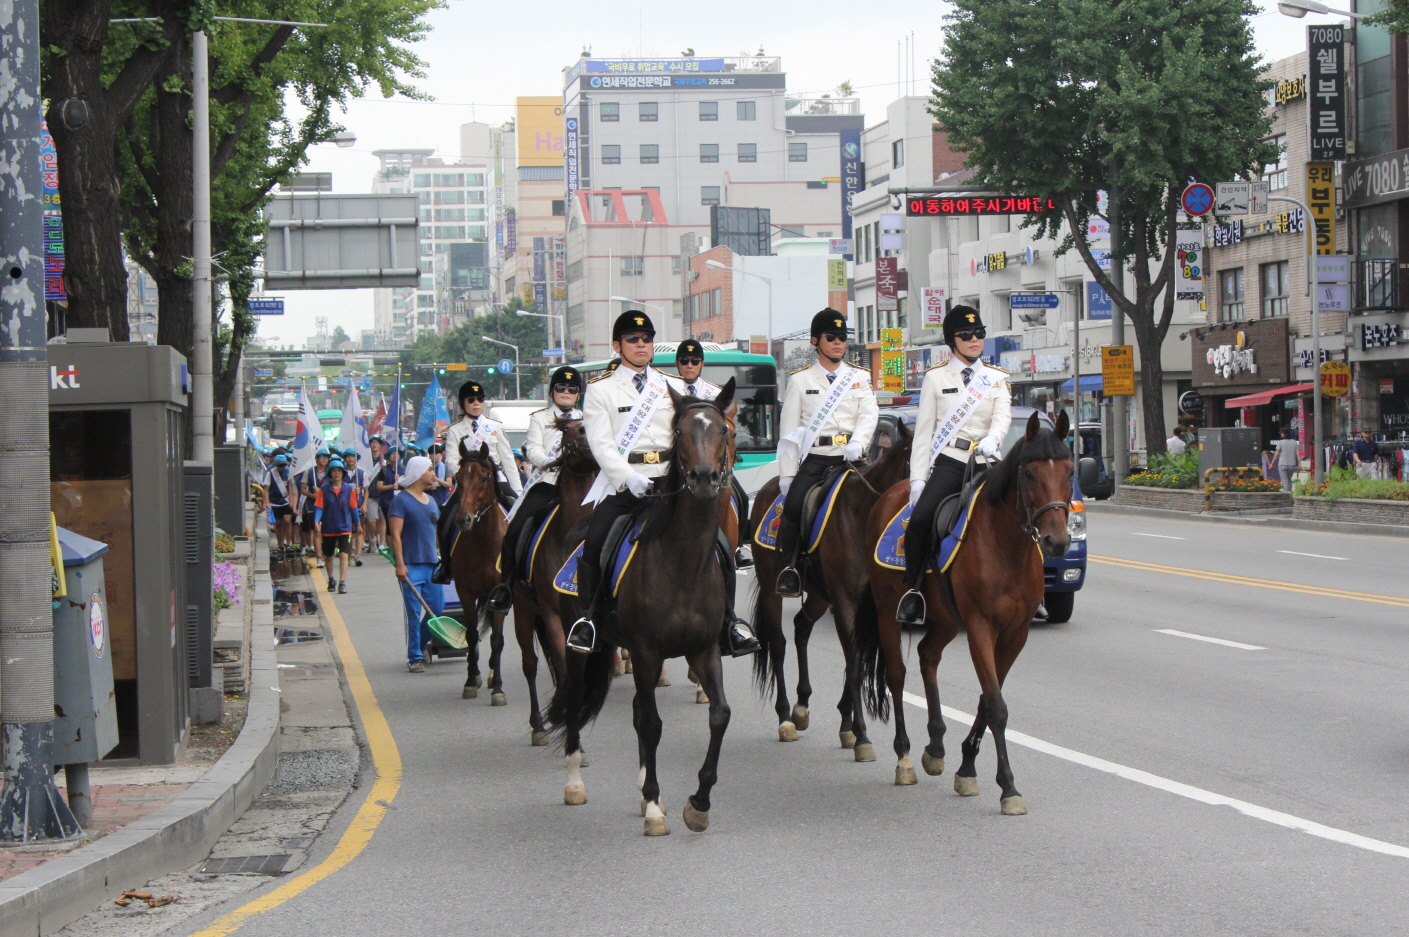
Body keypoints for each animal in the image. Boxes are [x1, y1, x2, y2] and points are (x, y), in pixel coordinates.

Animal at [510, 417, 597, 743]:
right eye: (570, 429)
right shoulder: (551, 614)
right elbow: (561, 666)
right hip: (522, 610)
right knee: (531, 664)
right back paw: (538, 724)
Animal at [549, 380, 743, 834]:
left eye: (723, 432)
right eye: (680, 432)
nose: (705, 478)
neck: (684, 562)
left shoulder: (704, 649)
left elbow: (719, 715)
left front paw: (698, 803)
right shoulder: (646, 650)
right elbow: (652, 724)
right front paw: (655, 805)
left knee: (638, 708)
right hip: (581, 644)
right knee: (576, 698)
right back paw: (575, 782)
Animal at [749, 419, 913, 755]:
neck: (865, 515)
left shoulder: (869, 607)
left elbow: (856, 661)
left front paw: (847, 724)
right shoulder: (846, 601)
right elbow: (854, 659)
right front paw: (861, 734)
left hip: (819, 595)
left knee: (801, 626)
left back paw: (802, 706)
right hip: (773, 587)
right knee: (778, 642)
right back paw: (785, 717)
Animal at [851, 408, 1070, 811]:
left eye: (1070, 471)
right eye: (1030, 473)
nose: (1057, 541)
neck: (1006, 546)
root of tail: (891, 493)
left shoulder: (1016, 633)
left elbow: (987, 699)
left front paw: (967, 767)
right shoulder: (981, 627)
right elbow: (996, 705)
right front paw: (1008, 787)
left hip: (946, 619)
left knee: (927, 655)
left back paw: (935, 746)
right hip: (889, 611)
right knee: (897, 675)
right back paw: (905, 759)